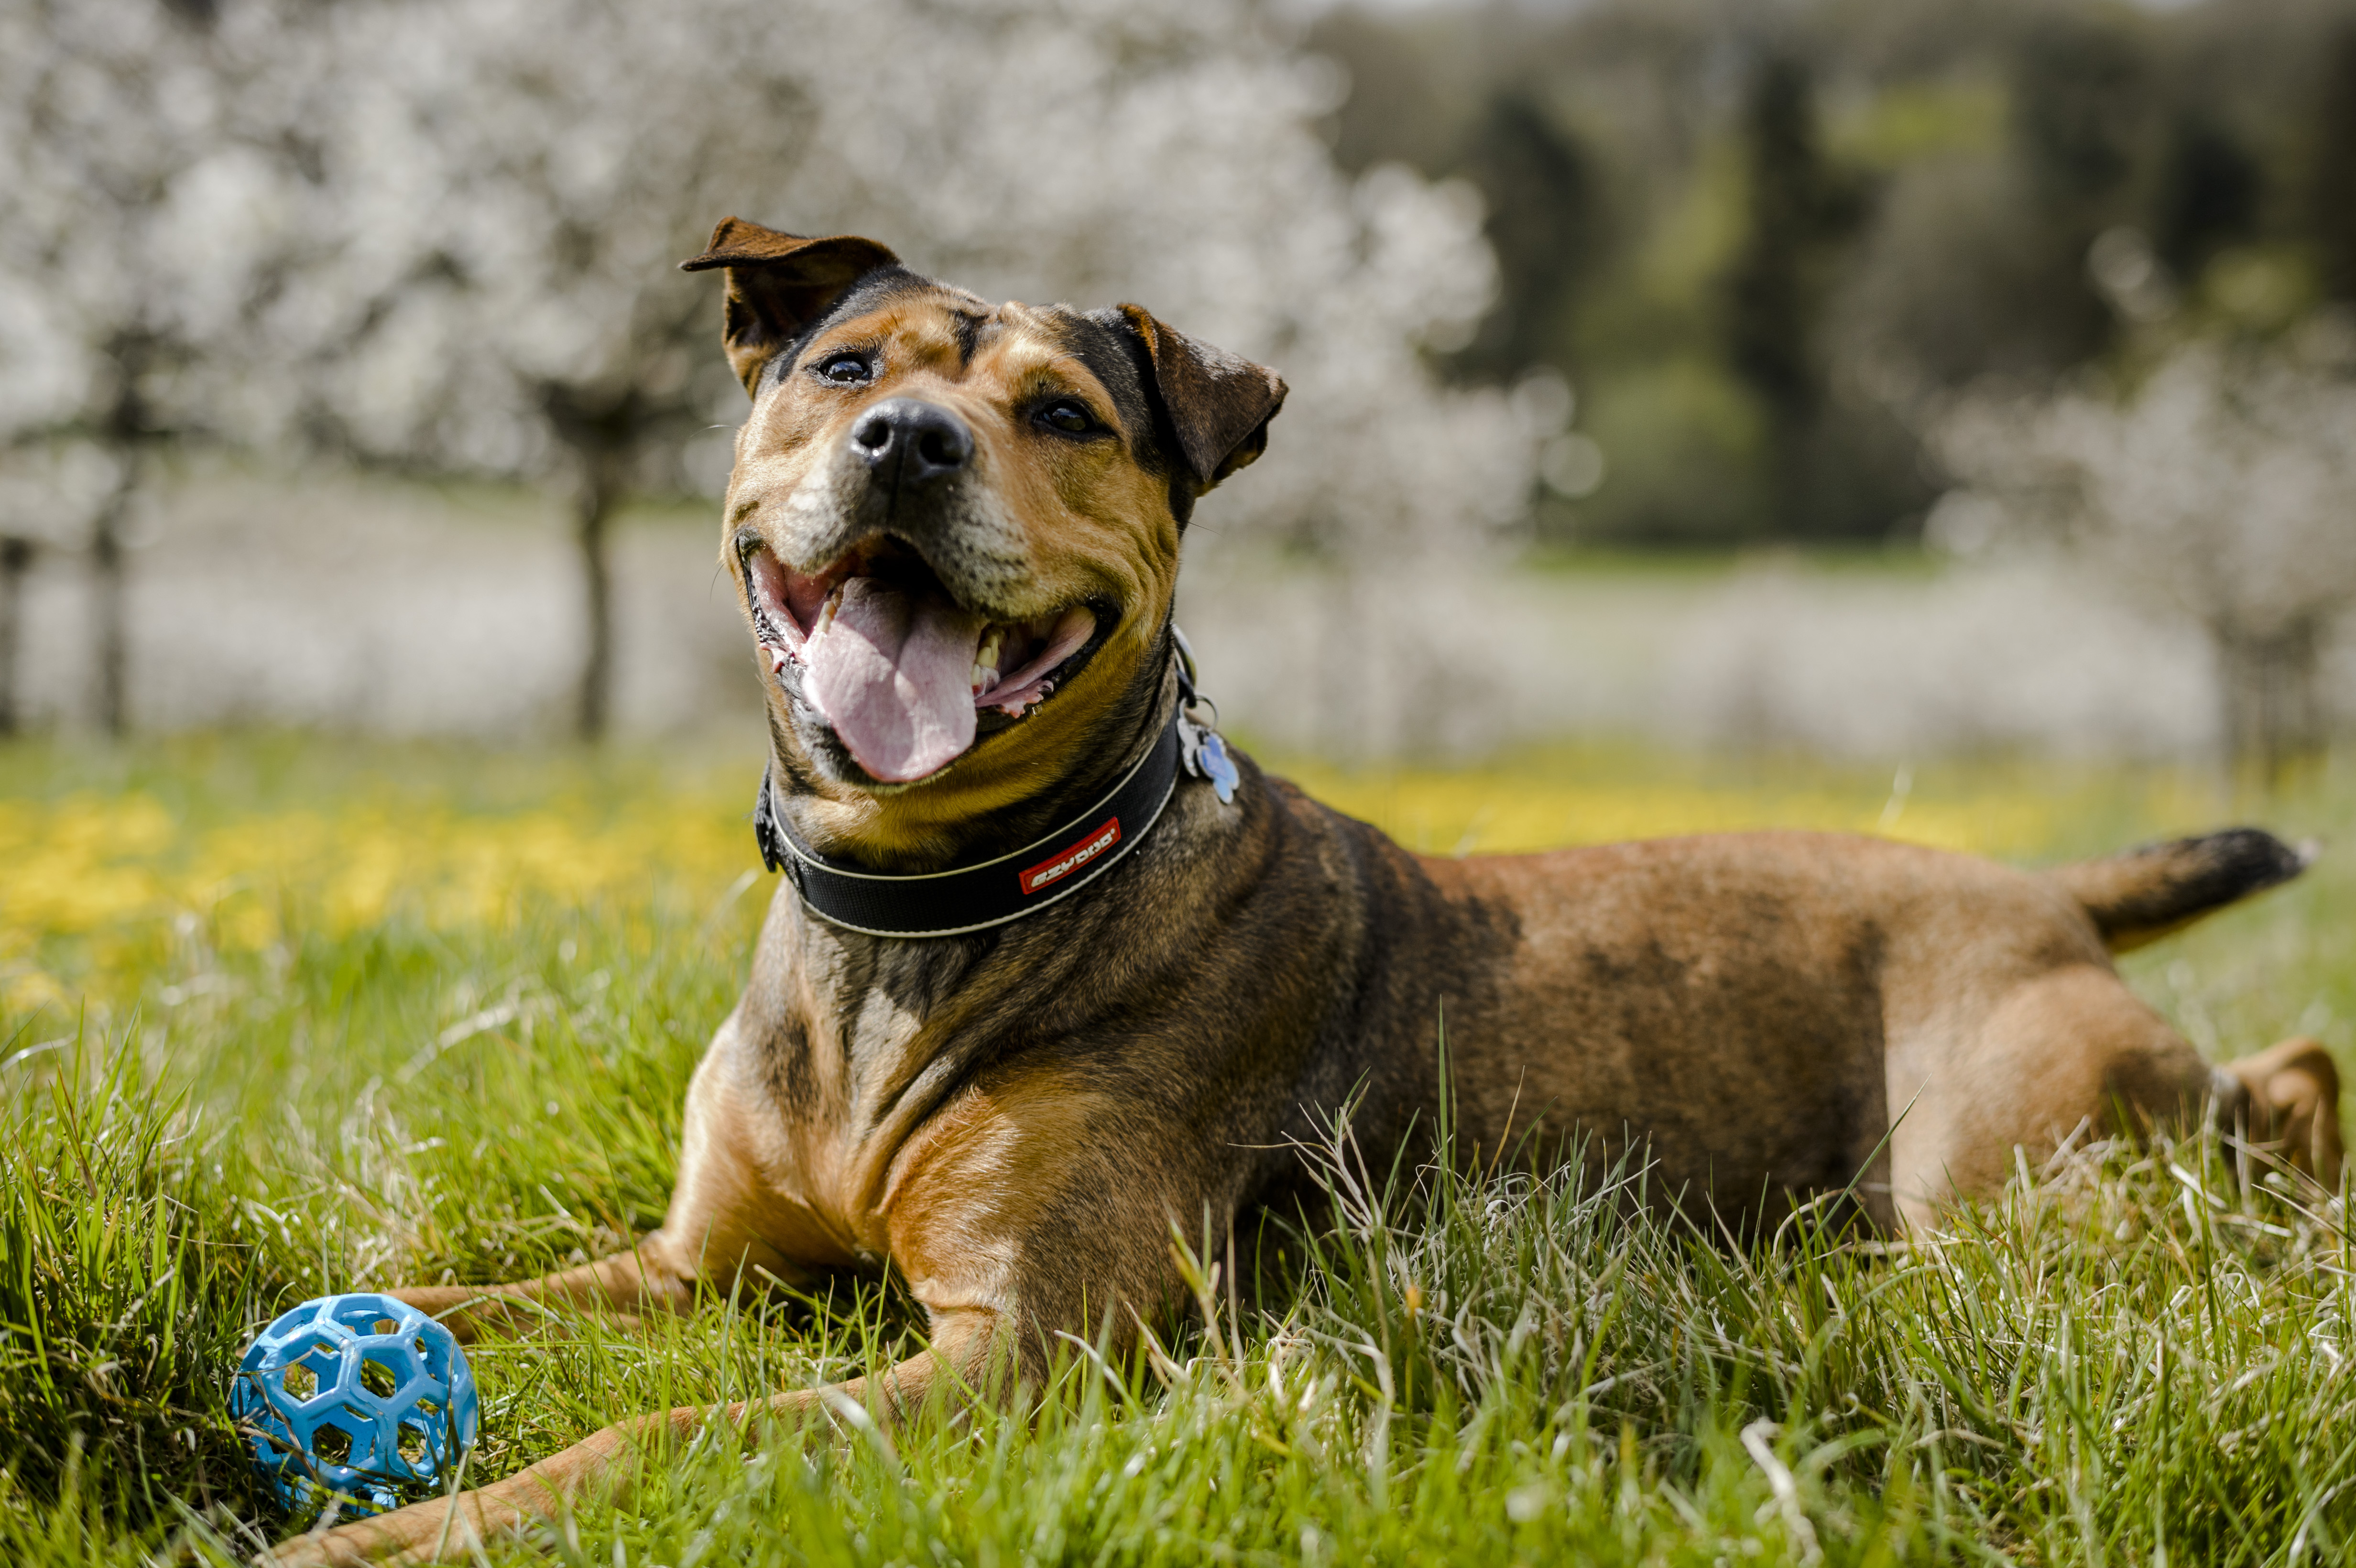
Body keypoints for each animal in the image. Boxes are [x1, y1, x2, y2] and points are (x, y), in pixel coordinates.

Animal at [262, 217, 2337, 1554]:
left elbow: (646, 1437)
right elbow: (459, 1302)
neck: (934, 904)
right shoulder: (693, 1266)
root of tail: (2036, 892)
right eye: (844, 367)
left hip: (2006, 1189)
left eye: (1066, 415)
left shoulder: (1018, 1358)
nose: (903, 440)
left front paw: (388, 1531)